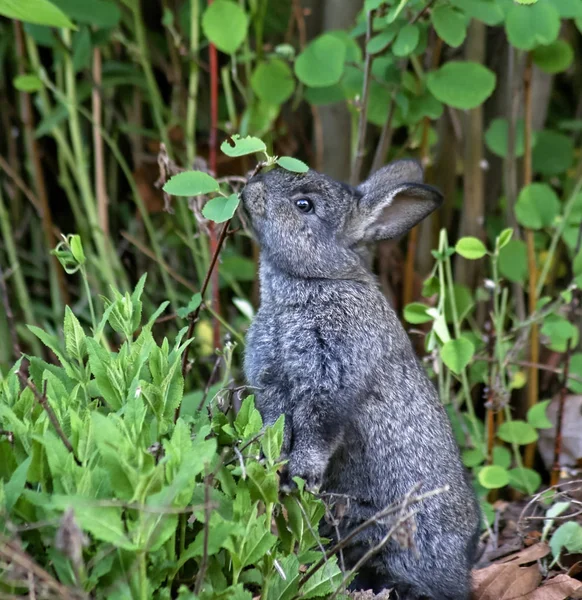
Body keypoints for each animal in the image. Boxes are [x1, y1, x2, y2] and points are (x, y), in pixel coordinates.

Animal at [244, 161, 482, 600]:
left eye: (304, 205)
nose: (250, 187)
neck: (318, 280)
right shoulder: (270, 386)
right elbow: (274, 424)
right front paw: (270, 463)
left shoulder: (332, 380)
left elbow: (318, 430)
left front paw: (300, 476)